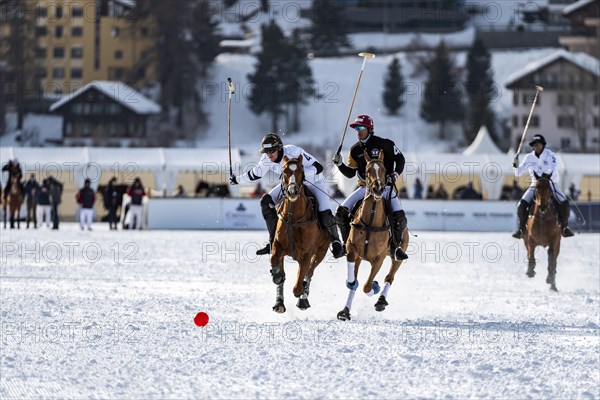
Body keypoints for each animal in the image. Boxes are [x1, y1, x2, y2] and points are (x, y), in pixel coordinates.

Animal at [270, 155, 330, 314]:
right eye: (284, 170)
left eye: (301, 171)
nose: (292, 192)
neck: (293, 217)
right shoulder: (278, 245)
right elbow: (274, 261)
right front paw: (277, 276)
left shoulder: (307, 253)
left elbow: (299, 284)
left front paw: (302, 293)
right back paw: (279, 302)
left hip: (321, 251)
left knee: (310, 272)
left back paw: (304, 297)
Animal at [336, 148, 410, 320]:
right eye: (367, 169)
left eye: (383, 169)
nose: (378, 189)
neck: (370, 222)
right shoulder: (353, 252)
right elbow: (353, 282)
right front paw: (345, 311)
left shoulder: (379, 259)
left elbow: (367, 286)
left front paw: (375, 287)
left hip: (398, 255)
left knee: (390, 277)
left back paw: (381, 301)